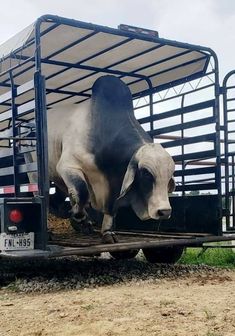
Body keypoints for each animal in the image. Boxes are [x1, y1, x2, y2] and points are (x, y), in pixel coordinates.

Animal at [47, 75, 174, 243]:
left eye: (169, 176)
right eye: (146, 173)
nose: (164, 212)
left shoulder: (115, 180)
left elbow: (111, 207)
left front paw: (107, 233)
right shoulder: (68, 166)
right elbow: (82, 193)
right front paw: (79, 216)